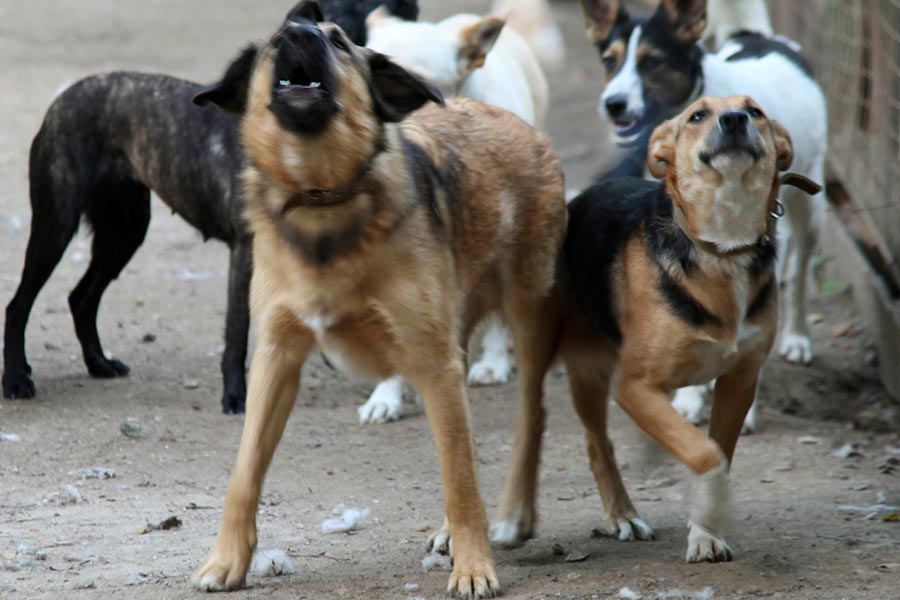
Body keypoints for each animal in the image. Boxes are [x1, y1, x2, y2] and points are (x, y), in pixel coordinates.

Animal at [0, 0, 422, 412]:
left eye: (339, 37)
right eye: (280, 39)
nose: (303, 35)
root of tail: (65, 96)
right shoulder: (245, 255)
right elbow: (237, 333)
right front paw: (237, 396)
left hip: (124, 232)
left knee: (81, 298)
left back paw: (98, 364)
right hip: (57, 225)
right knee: (19, 304)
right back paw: (17, 379)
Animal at [190, 4, 568, 596]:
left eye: (339, 42)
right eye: (275, 40)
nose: (299, 29)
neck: (321, 195)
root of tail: (509, 120)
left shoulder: (434, 364)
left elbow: (460, 479)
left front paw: (474, 566)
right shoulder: (276, 359)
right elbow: (244, 472)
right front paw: (226, 561)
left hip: (524, 323)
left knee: (527, 421)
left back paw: (512, 516)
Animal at [488, 97, 820, 564]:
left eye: (754, 110)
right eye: (697, 115)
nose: (734, 119)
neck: (722, 246)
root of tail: (577, 201)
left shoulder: (739, 381)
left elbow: (718, 450)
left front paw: (705, 529)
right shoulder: (634, 386)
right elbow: (704, 452)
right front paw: (713, 509)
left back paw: (624, 510)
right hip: (563, 358)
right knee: (555, 431)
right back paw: (526, 519)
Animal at [580, 0, 828, 432]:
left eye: (652, 62)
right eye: (610, 60)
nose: (613, 104)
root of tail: (756, 37)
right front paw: (690, 397)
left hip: (810, 211)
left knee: (798, 275)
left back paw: (798, 337)